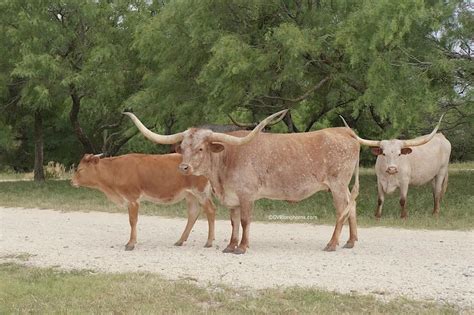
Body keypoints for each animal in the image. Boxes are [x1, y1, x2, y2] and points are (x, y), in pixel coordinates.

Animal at [71, 154, 217, 252]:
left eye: (80, 169)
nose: (72, 181)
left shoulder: (133, 199)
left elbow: (133, 221)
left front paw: (131, 244)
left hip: (201, 191)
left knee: (210, 210)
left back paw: (209, 242)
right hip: (190, 194)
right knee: (193, 213)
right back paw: (180, 240)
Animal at [124, 111, 362, 254]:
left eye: (200, 148)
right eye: (182, 148)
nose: (184, 168)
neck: (226, 161)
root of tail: (345, 131)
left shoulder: (247, 195)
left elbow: (246, 220)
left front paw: (242, 247)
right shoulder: (232, 197)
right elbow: (234, 221)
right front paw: (230, 245)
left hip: (337, 184)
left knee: (342, 209)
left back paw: (332, 244)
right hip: (342, 185)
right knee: (352, 205)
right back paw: (350, 241)